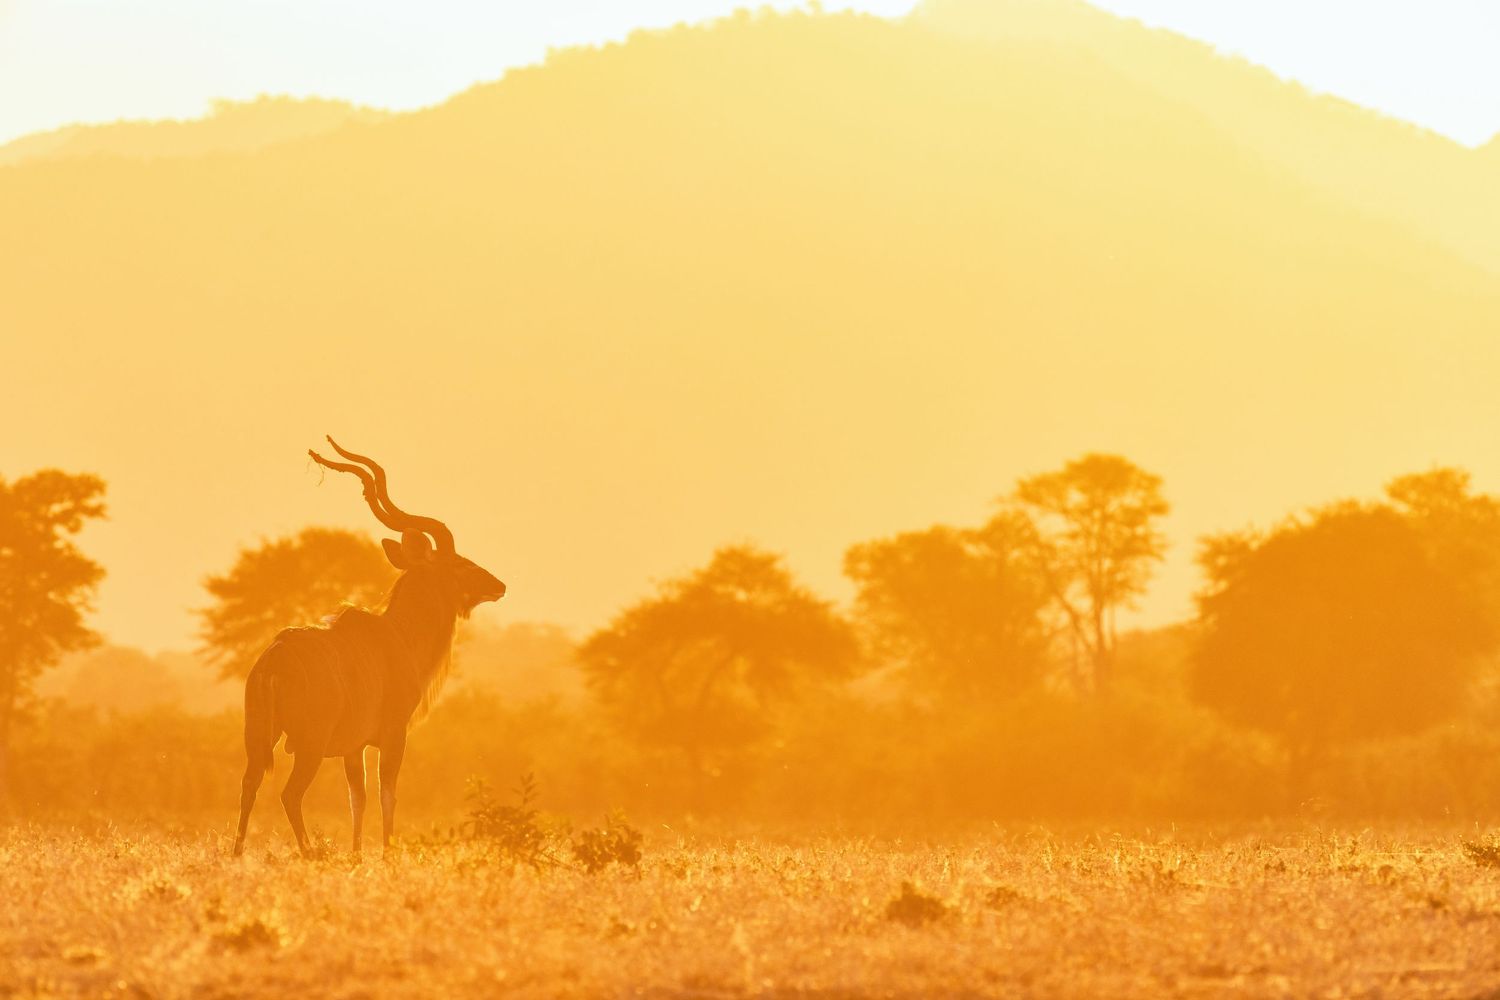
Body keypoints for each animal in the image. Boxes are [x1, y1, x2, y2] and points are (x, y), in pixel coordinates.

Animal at [232, 438, 505, 858]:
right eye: (459, 564)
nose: (499, 585)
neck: (400, 634)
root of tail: (275, 658)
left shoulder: (353, 747)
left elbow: (356, 799)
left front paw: (358, 855)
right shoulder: (393, 735)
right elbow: (386, 794)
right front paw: (388, 855)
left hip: (260, 737)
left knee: (249, 785)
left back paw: (237, 853)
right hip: (309, 746)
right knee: (289, 794)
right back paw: (310, 853)